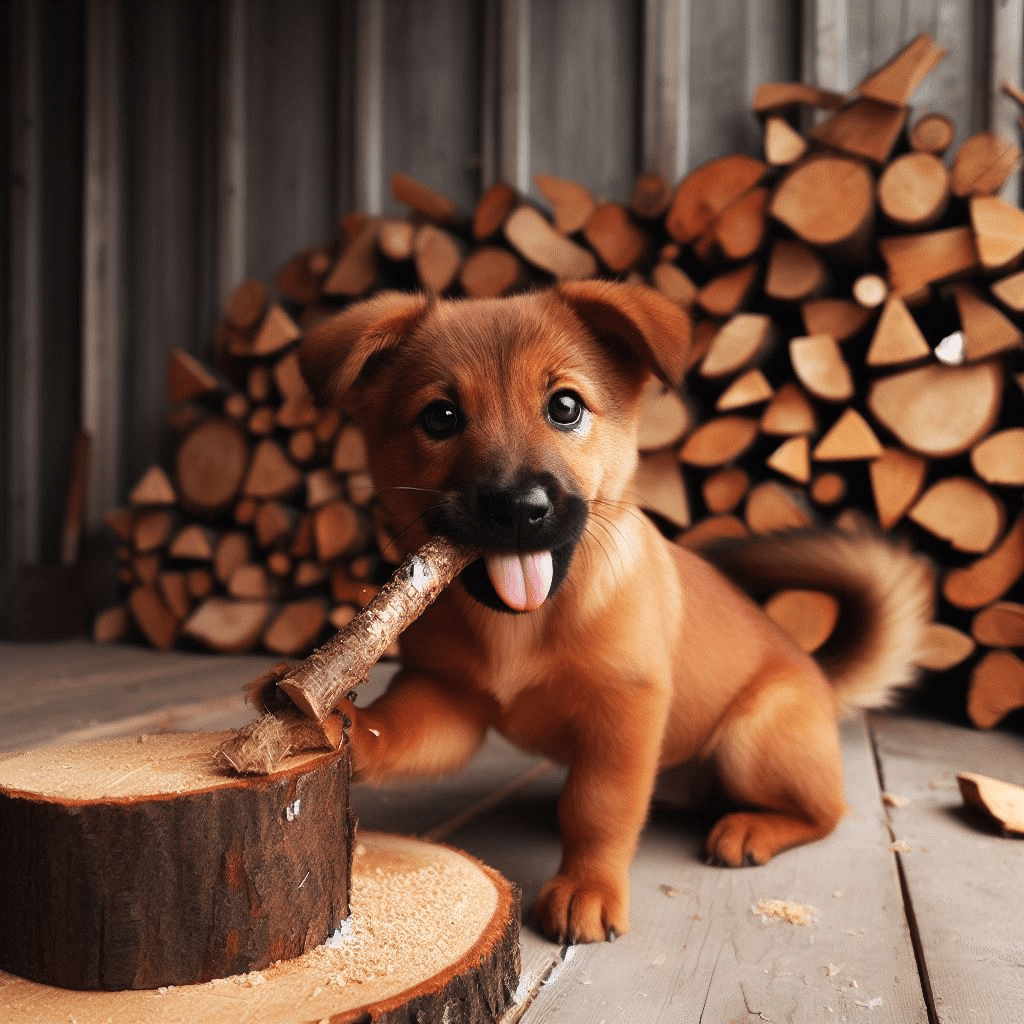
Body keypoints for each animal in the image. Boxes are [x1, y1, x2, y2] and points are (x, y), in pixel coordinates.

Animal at [299, 280, 937, 942]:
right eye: (441, 416)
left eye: (565, 407)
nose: (519, 507)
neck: (521, 625)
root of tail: (821, 679)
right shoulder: (449, 700)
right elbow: (398, 731)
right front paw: (346, 727)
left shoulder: (625, 708)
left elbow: (599, 806)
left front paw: (589, 886)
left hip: (755, 738)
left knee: (828, 811)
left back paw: (752, 827)